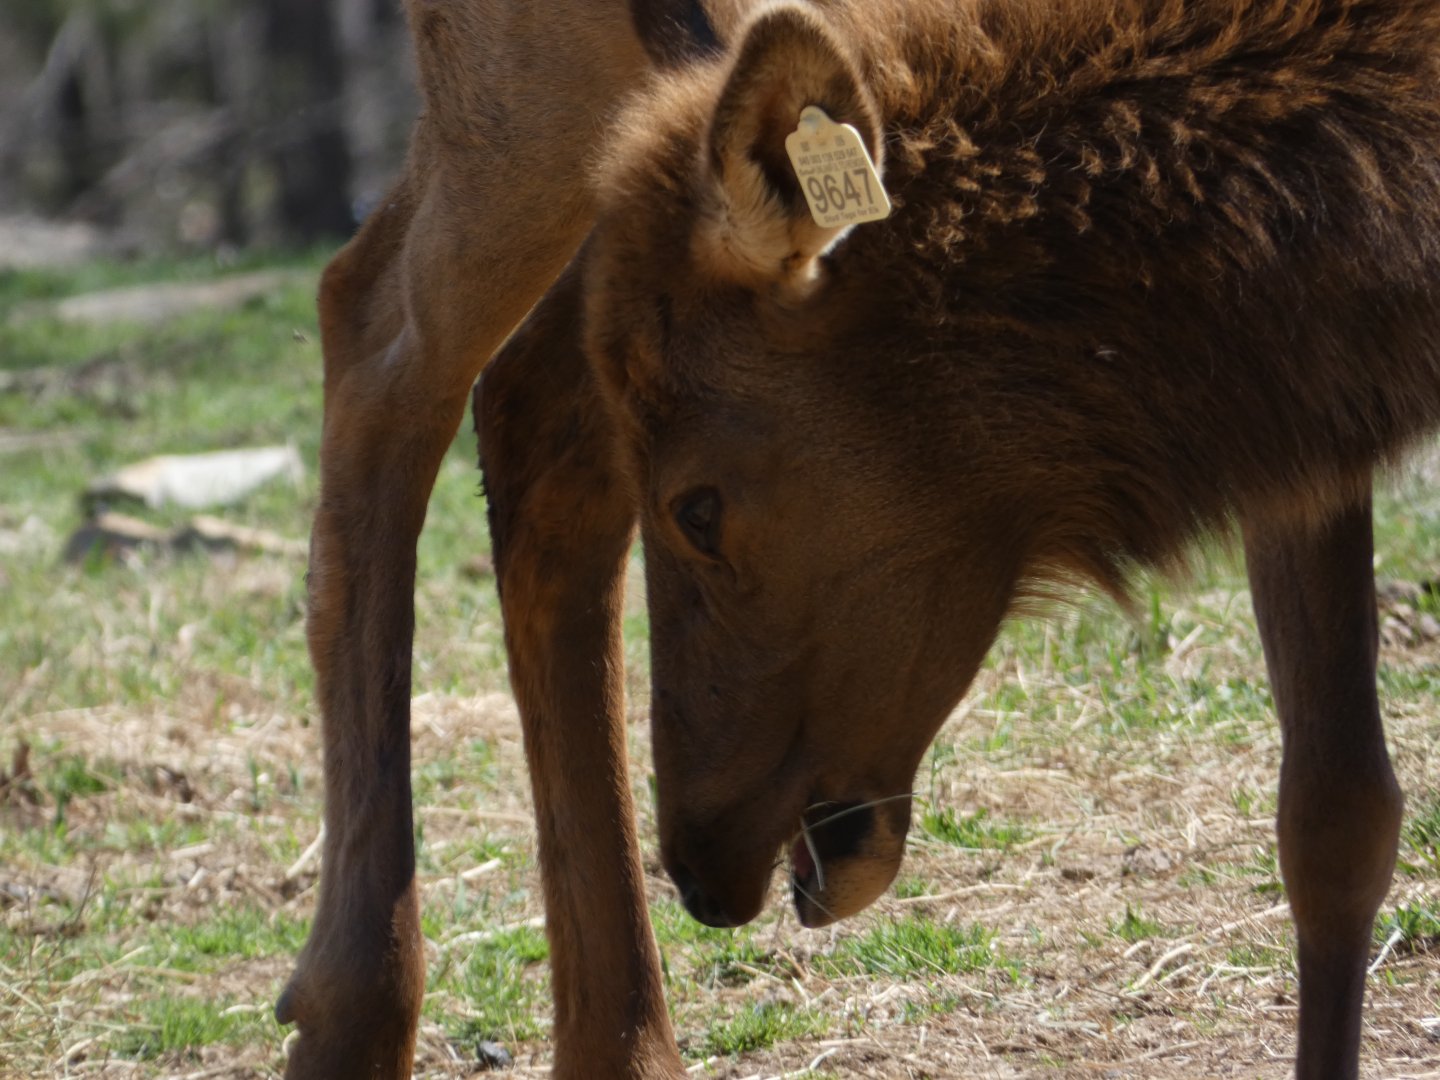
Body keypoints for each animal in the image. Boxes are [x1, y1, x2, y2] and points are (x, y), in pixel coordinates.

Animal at [278, 1, 1440, 1078]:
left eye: (697, 507)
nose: (698, 865)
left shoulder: (1305, 413)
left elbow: (1337, 811)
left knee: (521, 401)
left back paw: (616, 1042)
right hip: (514, 91)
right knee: (377, 330)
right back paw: (356, 1012)